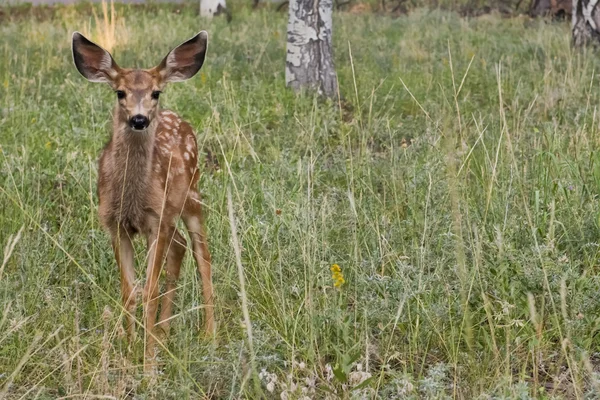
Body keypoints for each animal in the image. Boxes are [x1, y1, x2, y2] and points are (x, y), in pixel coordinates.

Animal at [72, 31, 216, 368]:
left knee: (202, 253)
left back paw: (209, 334)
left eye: (155, 93)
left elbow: (149, 290)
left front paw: (148, 364)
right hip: (171, 213)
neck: (131, 200)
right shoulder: (114, 224)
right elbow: (129, 291)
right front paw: (130, 347)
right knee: (180, 246)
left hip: (192, 194)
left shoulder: (154, 222)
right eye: (120, 92)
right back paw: (164, 331)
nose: (139, 119)